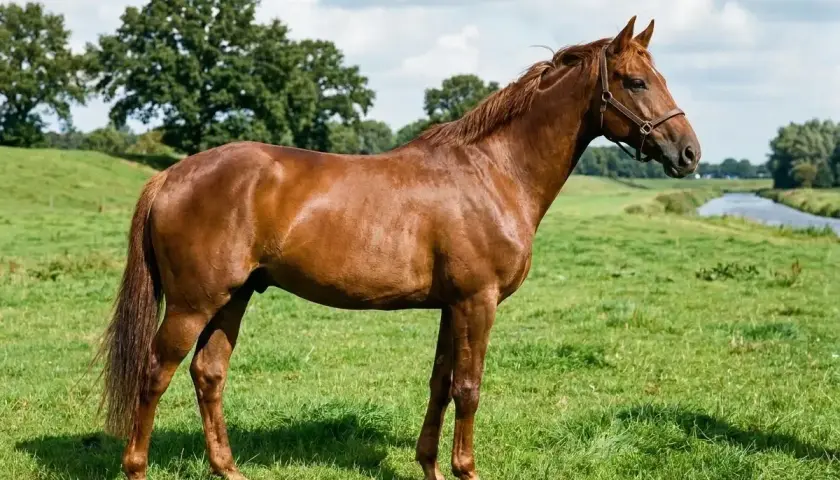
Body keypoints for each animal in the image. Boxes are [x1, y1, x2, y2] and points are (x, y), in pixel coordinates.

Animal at [98, 15, 700, 480]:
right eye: (635, 82)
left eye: (659, 77)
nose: (689, 152)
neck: (493, 172)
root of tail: (171, 175)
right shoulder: (477, 302)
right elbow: (469, 387)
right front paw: (466, 469)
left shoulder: (452, 306)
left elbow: (440, 383)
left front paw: (431, 465)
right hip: (193, 303)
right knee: (155, 373)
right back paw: (137, 467)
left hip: (234, 296)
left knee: (208, 373)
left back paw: (228, 468)